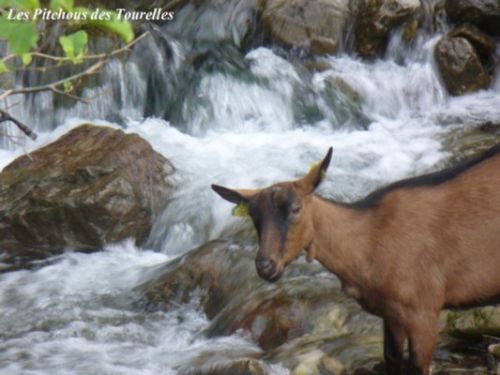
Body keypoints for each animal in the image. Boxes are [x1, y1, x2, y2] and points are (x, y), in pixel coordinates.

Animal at [213, 148, 500, 375]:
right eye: (254, 217)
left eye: (295, 209)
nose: (265, 266)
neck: (369, 241)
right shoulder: (392, 313)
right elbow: (392, 361)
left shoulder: (423, 311)